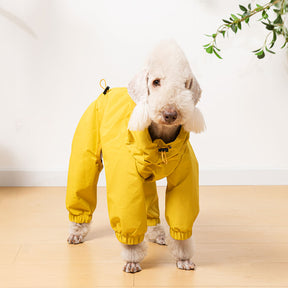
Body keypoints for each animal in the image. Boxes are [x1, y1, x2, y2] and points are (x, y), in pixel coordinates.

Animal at [66, 40, 205, 272]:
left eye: (186, 84)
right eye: (156, 82)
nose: (170, 114)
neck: (161, 142)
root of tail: (107, 90)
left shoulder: (185, 178)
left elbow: (182, 216)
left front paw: (183, 258)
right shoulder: (125, 180)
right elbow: (128, 214)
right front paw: (132, 259)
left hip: (146, 180)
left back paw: (157, 234)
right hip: (86, 148)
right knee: (81, 186)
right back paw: (76, 231)